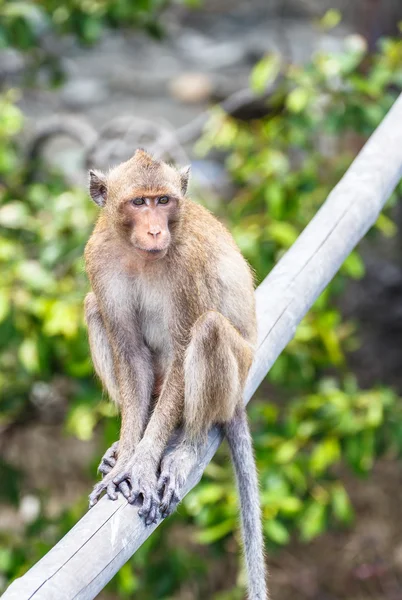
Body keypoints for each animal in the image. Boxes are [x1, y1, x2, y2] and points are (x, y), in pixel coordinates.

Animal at [84, 146, 266, 600]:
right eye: (139, 202)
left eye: (163, 200)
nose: (155, 232)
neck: (137, 255)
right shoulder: (98, 258)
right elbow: (130, 354)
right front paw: (128, 458)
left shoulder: (187, 265)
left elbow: (186, 346)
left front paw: (142, 465)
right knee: (93, 306)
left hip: (236, 375)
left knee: (209, 328)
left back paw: (186, 445)